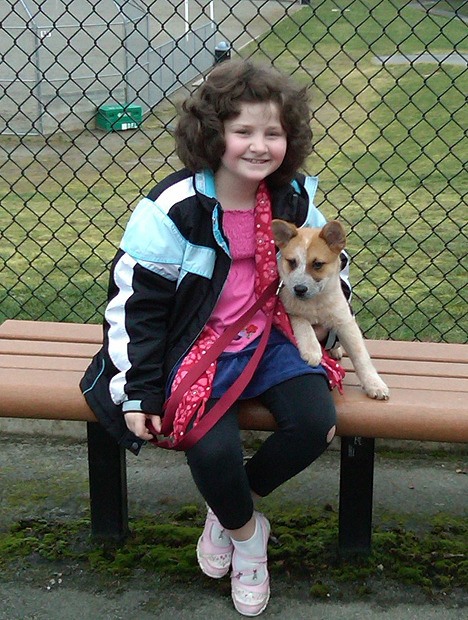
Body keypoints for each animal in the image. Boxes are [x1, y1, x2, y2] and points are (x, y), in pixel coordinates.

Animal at [272, 220, 390, 400]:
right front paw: (312, 350)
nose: (299, 289)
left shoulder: (345, 322)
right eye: (292, 262)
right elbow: (303, 323)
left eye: (317, 264)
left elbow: (361, 357)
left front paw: (374, 384)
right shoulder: (289, 311)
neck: (316, 303)